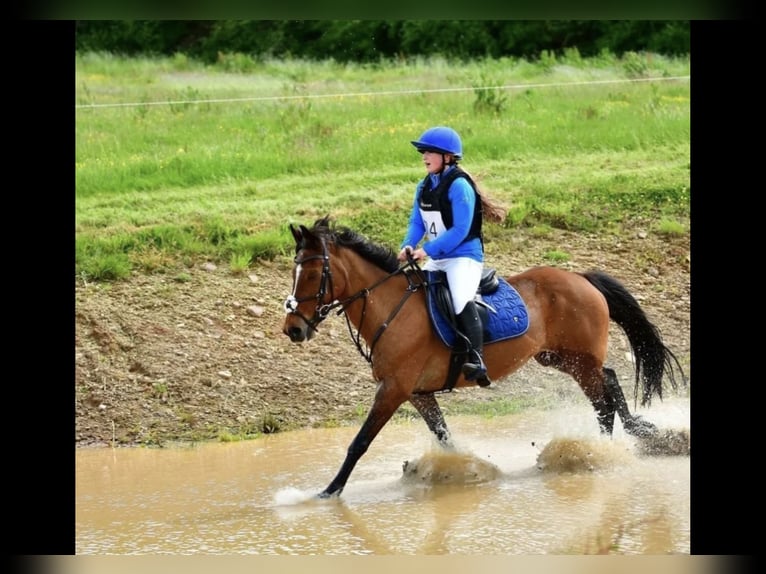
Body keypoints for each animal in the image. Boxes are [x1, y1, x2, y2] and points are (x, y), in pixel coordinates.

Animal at [282, 215, 686, 498]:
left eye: (314, 274)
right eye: (294, 272)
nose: (293, 329)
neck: (391, 308)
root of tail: (581, 277)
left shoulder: (394, 389)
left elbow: (360, 442)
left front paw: (327, 492)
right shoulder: (417, 393)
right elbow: (444, 435)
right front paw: (464, 469)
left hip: (579, 359)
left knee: (603, 397)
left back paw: (601, 452)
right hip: (559, 357)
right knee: (610, 382)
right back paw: (627, 438)